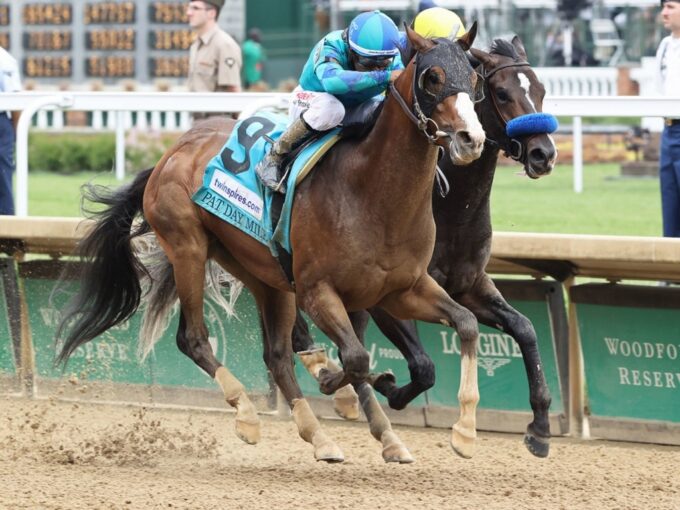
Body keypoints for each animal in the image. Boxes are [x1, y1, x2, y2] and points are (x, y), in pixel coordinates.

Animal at [55, 28, 486, 466]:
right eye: (432, 77)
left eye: (474, 79)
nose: (471, 139)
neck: (372, 193)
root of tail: (173, 151)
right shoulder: (318, 291)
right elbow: (356, 358)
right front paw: (336, 380)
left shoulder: (401, 289)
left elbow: (464, 325)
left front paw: (464, 431)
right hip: (188, 248)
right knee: (193, 338)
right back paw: (248, 415)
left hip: (264, 275)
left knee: (277, 358)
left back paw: (322, 435)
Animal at [292, 35, 556, 458]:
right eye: (501, 92)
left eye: (541, 89)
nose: (543, 154)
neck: (451, 206)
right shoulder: (386, 295)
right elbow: (422, 367)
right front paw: (386, 385)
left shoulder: (468, 285)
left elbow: (525, 328)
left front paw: (541, 427)